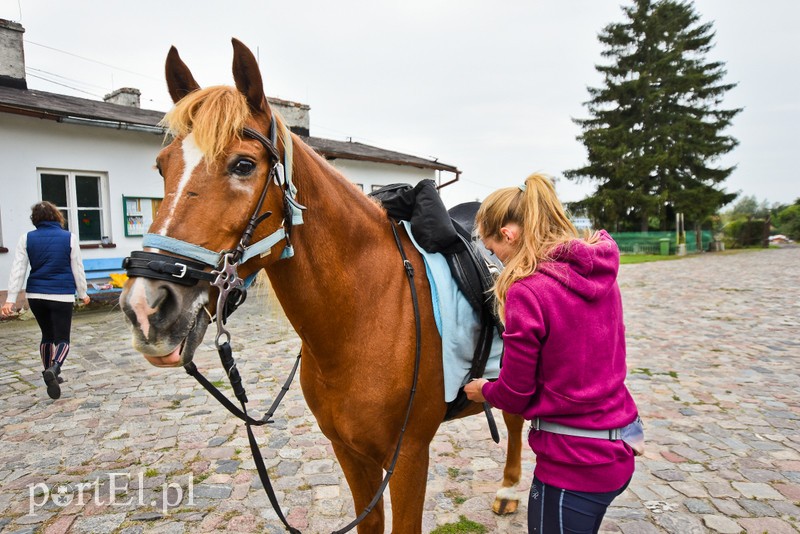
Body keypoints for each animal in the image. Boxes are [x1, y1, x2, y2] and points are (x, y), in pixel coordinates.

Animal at [115, 39, 520, 532]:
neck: (364, 316)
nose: (145, 307)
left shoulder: (409, 458)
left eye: (243, 164)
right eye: (161, 167)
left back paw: (509, 491)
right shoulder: (350, 453)